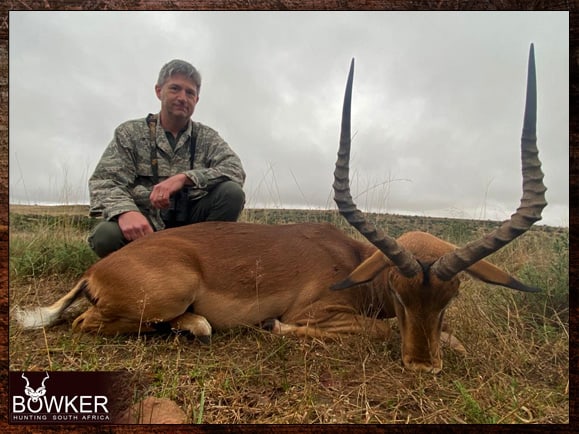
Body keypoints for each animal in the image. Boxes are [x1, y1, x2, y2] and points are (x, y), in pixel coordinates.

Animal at [14, 45, 548, 374]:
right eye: (398, 292)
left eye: (451, 296)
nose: (421, 364)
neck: (354, 263)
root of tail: (96, 272)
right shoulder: (325, 314)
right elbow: (372, 330)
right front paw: (277, 327)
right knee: (84, 323)